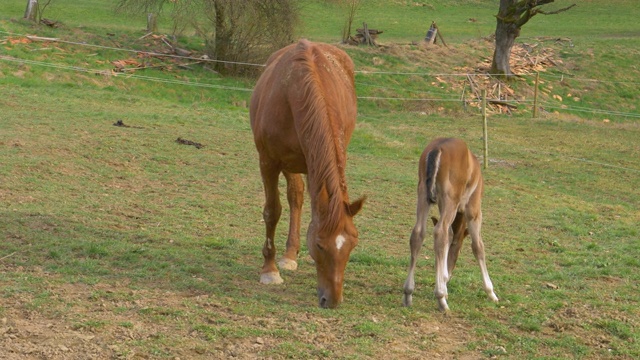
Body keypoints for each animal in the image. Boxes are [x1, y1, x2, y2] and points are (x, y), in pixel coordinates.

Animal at [250, 40, 364, 310]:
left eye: (353, 243)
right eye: (320, 245)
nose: (331, 300)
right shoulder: (268, 162)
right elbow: (272, 212)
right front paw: (269, 270)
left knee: (300, 197)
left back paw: (292, 252)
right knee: (295, 196)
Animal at [400, 138, 500, 312]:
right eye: (459, 251)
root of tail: (437, 147)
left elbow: (450, 236)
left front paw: (444, 280)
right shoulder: (473, 210)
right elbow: (478, 246)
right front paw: (491, 292)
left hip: (423, 194)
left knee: (418, 233)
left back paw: (408, 293)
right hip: (450, 200)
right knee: (440, 232)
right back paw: (440, 299)